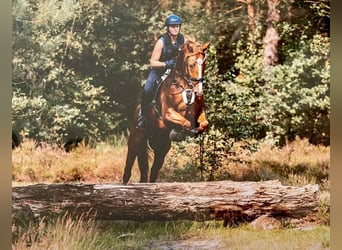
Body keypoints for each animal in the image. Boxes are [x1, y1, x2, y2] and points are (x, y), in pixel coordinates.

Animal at [122, 40, 208, 184]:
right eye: (191, 64)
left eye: (205, 64)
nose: (199, 92)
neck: (183, 86)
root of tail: (137, 110)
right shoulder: (168, 113)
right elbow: (185, 122)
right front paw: (179, 133)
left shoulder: (197, 113)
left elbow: (204, 124)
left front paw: (192, 132)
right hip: (135, 140)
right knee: (128, 167)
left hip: (161, 147)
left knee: (152, 172)